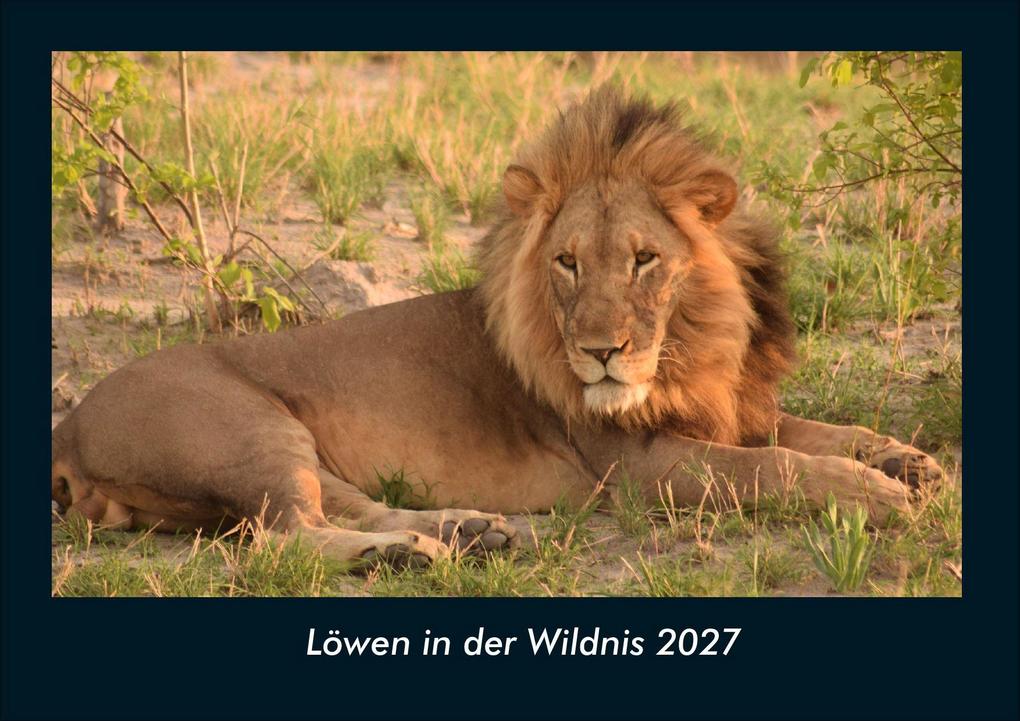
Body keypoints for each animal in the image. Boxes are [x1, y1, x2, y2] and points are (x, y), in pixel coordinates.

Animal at [51, 86, 943, 572]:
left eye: (645, 259)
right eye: (568, 263)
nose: (601, 353)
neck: (697, 343)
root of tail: (68, 423)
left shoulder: (734, 408)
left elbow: (815, 429)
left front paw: (907, 461)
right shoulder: (638, 464)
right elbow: (773, 467)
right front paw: (875, 495)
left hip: (285, 445)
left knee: (342, 506)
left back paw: (468, 532)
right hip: (248, 428)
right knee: (283, 535)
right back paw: (400, 557)